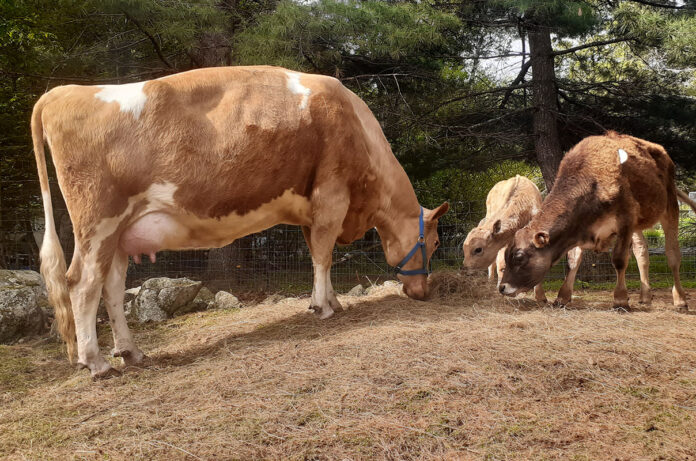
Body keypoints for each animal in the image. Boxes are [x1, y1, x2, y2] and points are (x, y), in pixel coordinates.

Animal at [31, 66, 449, 378]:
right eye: (436, 242)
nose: (423, 293)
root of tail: (62, 92)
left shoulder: (310, 210)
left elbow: (319, 253)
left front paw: (331, 300)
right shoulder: (332, 195)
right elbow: (323, 255)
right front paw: (323, 308)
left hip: (120, 233)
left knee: (113, 288)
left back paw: (131, 352)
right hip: (98, 222)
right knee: (82, 284)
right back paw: (97, 363)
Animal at [499, 132, 696, 310]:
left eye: (519, 256)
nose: (502, 287)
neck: (591, 182)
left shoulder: (625, 222)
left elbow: (619, 259)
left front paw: (620, 300)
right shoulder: (580, 228)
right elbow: (573, 261)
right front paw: (562, 297)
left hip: (670, 207)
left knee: (672, 254)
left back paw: (680, 300)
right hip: (638, 225)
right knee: (642, 253)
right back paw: (645, 297)